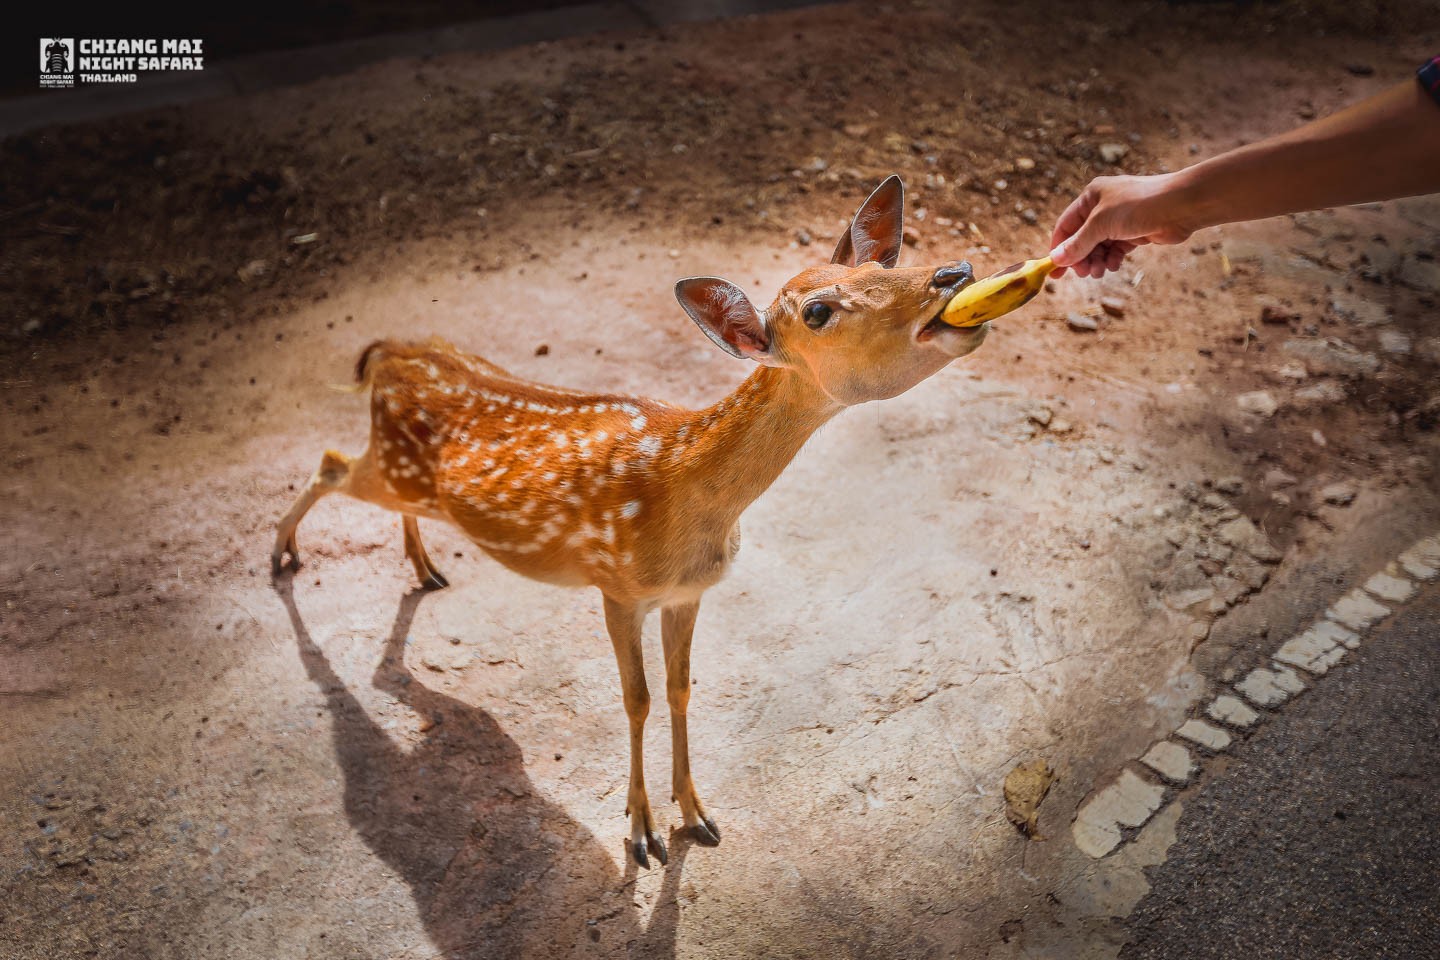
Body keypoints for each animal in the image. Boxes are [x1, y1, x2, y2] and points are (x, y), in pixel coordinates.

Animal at [270, 174, 990, 869]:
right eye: (818, 312)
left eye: (883, 265)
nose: (952, 273)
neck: (685, 492)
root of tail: (390, 353)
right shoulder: (616, 586)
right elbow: (635, 698)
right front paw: (641, 832)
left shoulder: (689, 592)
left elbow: (680, 689)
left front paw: (695, 813)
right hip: (392, 466)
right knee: (331, 462)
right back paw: (282, 558)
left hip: (408, 479)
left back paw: (424, 568)